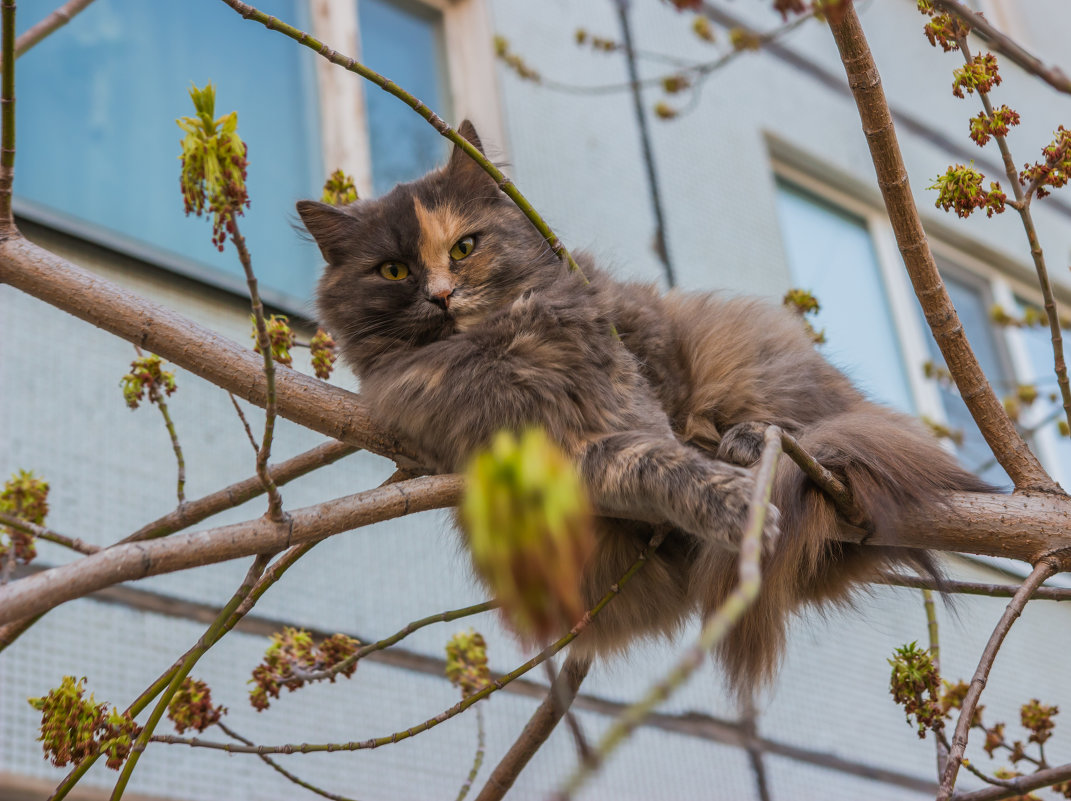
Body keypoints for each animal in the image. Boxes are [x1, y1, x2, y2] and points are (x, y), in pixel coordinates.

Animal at [297, 120, 989, 693]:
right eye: (393, 271)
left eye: (465, 249)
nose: (441, 296)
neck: (506, 342)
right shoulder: (554, 447)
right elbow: (656, 466)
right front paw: (732, 506)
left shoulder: (631, 359)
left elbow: (662, 426)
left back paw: (751, 442)